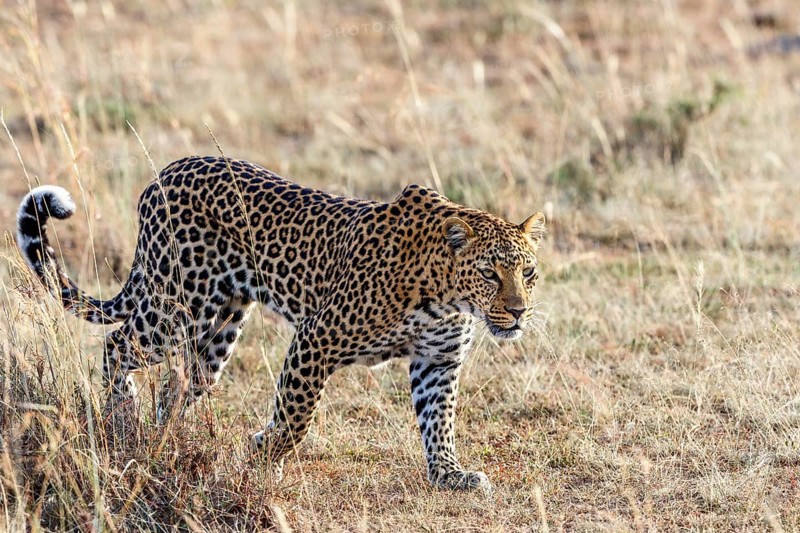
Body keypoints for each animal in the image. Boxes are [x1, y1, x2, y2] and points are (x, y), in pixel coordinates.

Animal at [16, 156, 545, 493]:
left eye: (528, 272)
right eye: (489, 273)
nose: (519, 311)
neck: (447, 294)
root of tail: (162, 175)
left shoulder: (438, 359)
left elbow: (440, 420)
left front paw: (449, 474)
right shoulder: (317, 337)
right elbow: (297, 416)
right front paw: (263, 453)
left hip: (219, 328)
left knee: (176, 386)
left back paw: (164, 439)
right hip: (172, 307)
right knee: (116, 343)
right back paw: (121, 417)